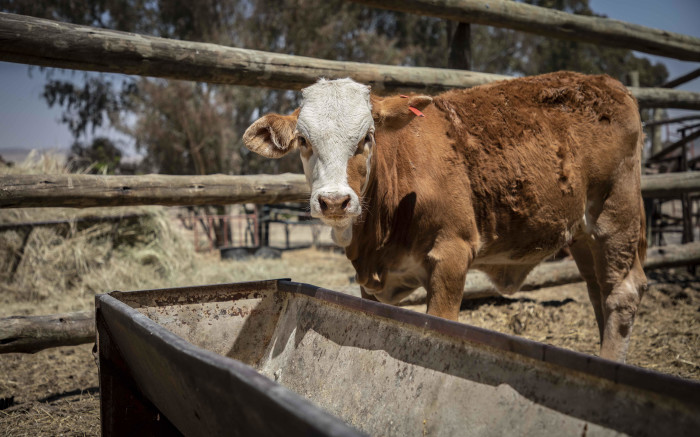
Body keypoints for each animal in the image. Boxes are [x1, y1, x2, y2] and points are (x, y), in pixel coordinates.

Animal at [243, 70, 648, 360]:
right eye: (304, 141)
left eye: (366, 138)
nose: (334, 201)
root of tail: (609, 84)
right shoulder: (369, 286)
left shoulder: (452, 254)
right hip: (582, 235)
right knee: (598, 291)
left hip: (615, 216)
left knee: (623, 292)